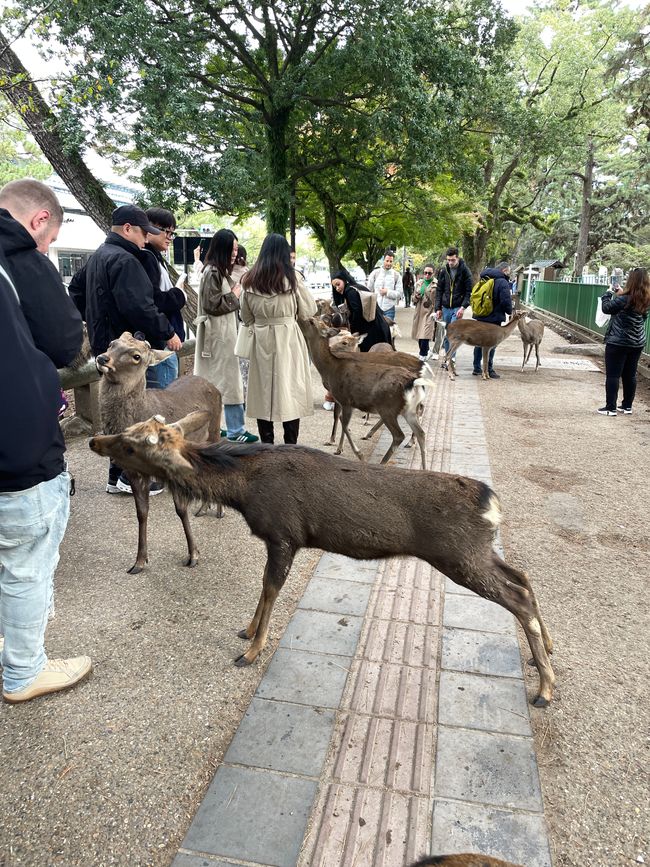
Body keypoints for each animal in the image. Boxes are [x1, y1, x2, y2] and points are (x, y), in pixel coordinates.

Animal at [89, 412, 556, 707]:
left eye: (130, 445)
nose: (95, 439)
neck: (243, 492)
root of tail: (491, 503)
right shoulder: (278, 540)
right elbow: (264, 590)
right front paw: (247, 631)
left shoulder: (284, 535)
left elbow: (270, 589)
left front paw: (251, 651)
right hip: (479, 551)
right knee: (522, 575)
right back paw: (546, 652)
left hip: (459, 555)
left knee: (517, 597)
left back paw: (546, 688)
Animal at [95, 331, 223, 574]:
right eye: (112, 343)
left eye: (136, 356)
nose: (102, 358)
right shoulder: (133, 472)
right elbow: (141, 512)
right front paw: (139, 561)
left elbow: (180, 510)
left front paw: (193, 555)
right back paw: (203, 507)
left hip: (215, 430)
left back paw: (218, 510)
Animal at [300, 317, 431, 468]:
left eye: (311, 321)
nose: (299, 317)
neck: (331, 369)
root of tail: (416, 379)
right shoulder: (343, 400)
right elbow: (341, 420)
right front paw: (337, 445)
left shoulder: (345, 399)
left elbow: (343, 422)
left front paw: (354, 453)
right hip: (407, 409)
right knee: (421, 432)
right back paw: (422, 465)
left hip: (387, 407)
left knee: (399, 435)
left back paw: (381, 459)